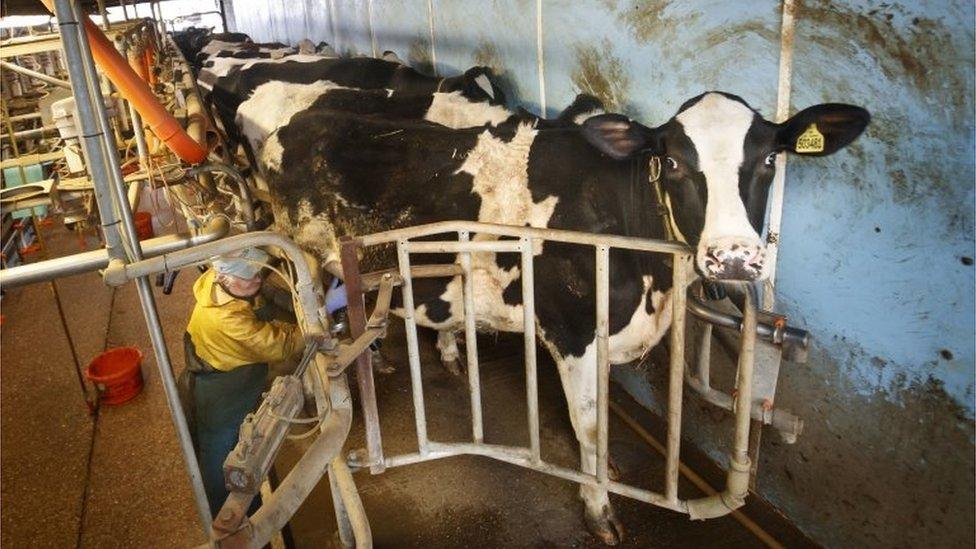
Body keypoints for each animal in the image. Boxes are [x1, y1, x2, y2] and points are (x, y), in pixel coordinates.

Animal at [231, 88, 868, 540]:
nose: (732, 257)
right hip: (307, 259)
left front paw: (606, 472)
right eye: (673, 163)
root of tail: (299, 120)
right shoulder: (575, 331)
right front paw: (599, 506)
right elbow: (588, 425)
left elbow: (601, 419)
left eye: (769, 159)